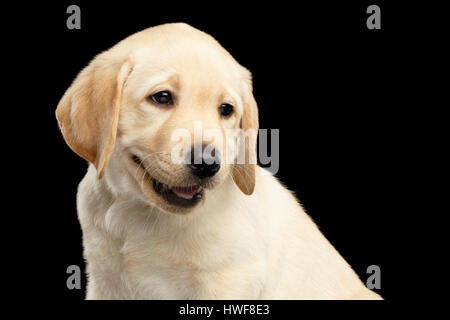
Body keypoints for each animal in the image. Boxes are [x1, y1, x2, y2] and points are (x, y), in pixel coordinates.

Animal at [54, 23, 382, 300]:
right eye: (162, 97)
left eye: (226, 110)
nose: (206, 164)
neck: (141, 212)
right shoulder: (105, 282)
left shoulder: (229, 282)